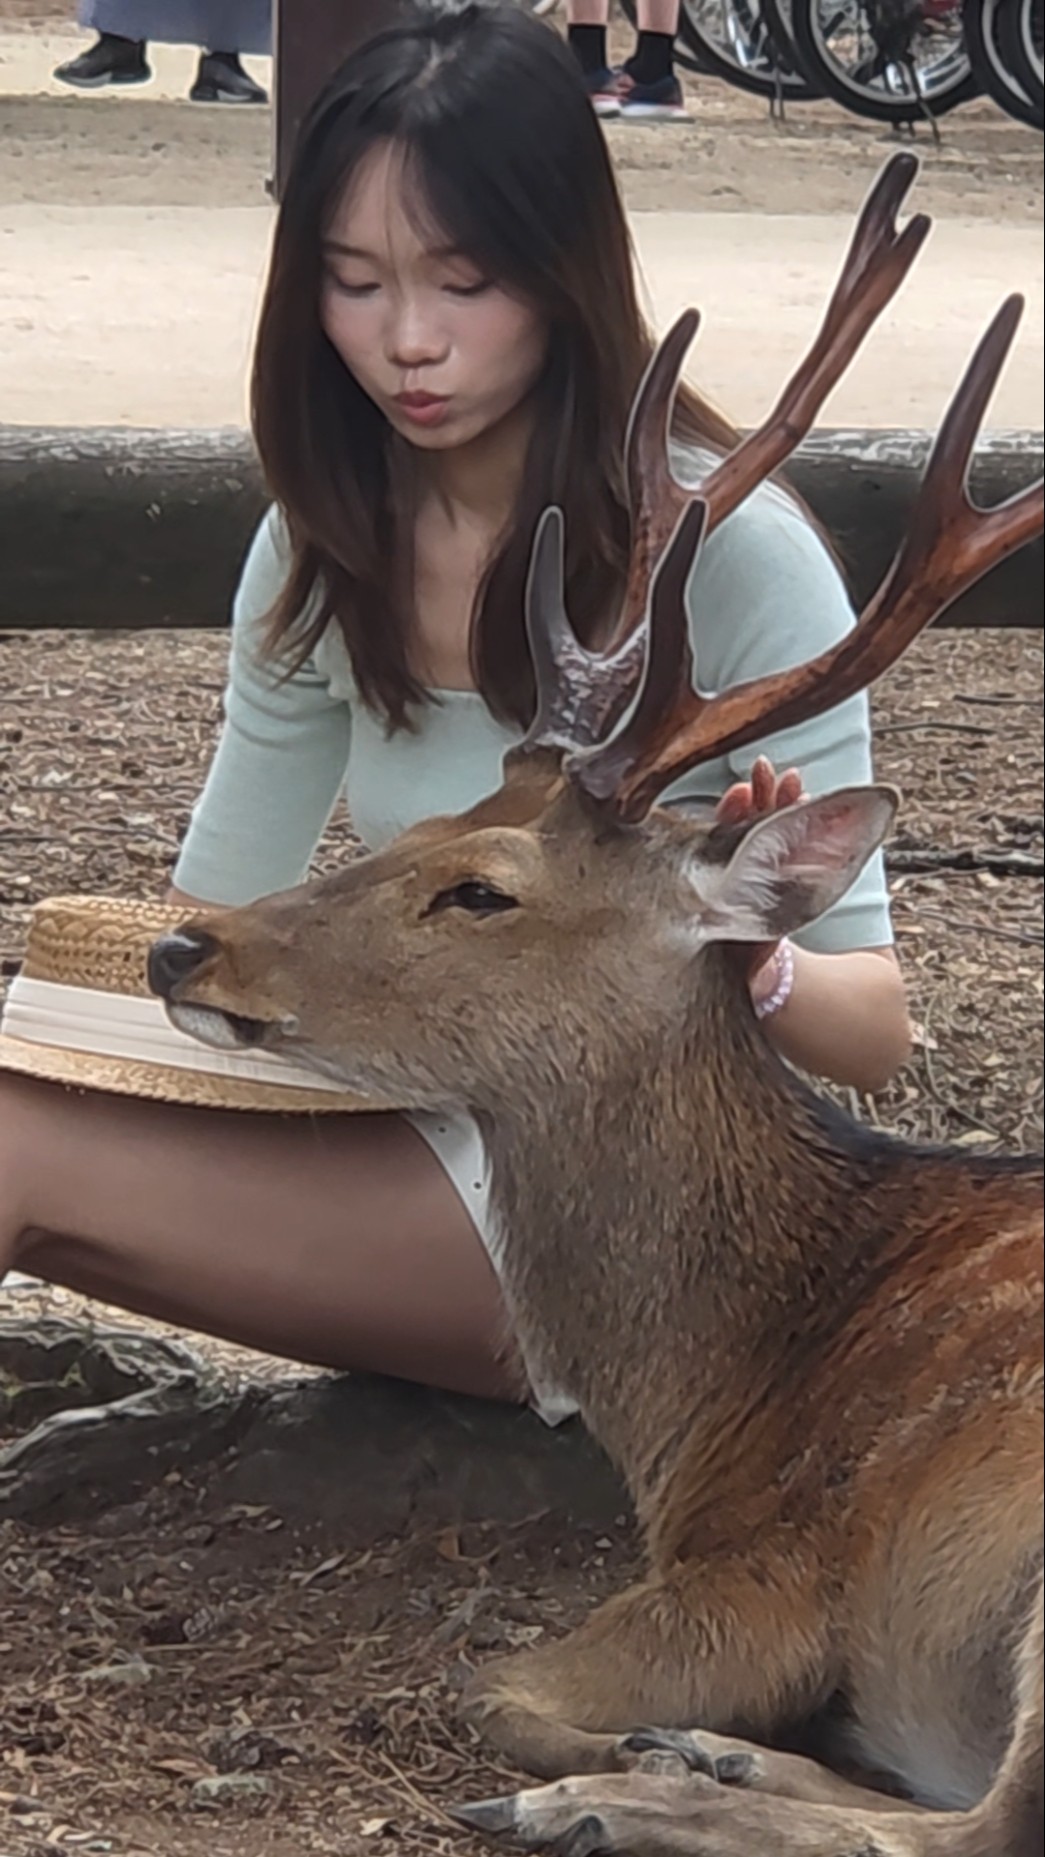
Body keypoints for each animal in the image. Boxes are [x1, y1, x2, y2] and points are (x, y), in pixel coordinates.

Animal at [147, 155, 1044, 1857]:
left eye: (482, 889)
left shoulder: (771, 1570)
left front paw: (618, 1759)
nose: (185, 949)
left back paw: (631, 1788)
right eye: (426, 818)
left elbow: (484, 1681)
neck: (717, 1385)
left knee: (973, 1826)